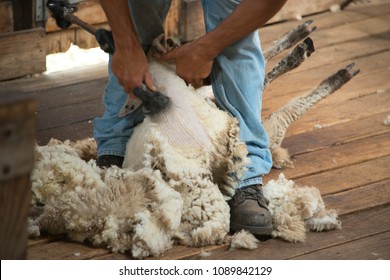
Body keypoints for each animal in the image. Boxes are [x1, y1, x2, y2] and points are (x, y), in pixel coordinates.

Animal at [29, 20, 354, 260]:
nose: (106, 37)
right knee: (267, 93)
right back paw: (313, 56)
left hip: (209, 105)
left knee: (258, 84)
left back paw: (308, 47)